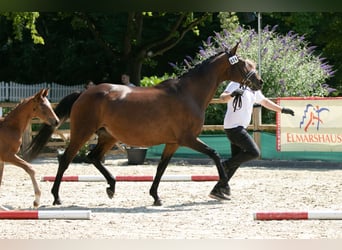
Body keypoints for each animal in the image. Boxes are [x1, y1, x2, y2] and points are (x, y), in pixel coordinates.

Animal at [25, 43, 264, 206]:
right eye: (244, 65)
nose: (259, 82)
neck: (188, 94)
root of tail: (84, 93)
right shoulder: (188, 139)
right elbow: (215, 155)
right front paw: (223, 187)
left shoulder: (173, 143)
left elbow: (161, 168)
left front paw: (155, 196)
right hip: (83, 132)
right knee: (66, 159)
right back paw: (57, 197)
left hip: (108, 136)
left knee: (93, 157)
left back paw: (111, 187)